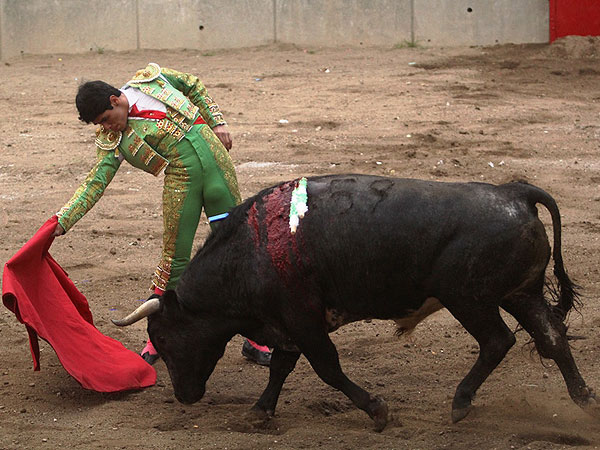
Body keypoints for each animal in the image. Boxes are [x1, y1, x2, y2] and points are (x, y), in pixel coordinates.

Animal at [111, 174, 596, 430]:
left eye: (163, 338)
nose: (184, 396)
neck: (252, 250)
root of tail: (515, 193)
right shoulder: (287, 323)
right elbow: (283, 366)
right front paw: (261, 411)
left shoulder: (302, 319)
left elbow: (327, 368)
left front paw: (377, 410)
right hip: (520, 293)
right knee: (551, 336)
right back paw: (584, 398)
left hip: (471, 299)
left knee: (498, 342)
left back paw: (461, 402)